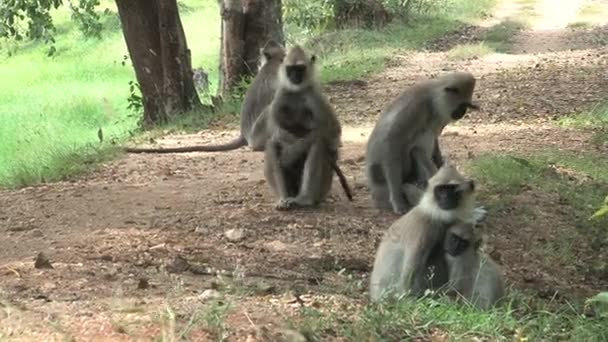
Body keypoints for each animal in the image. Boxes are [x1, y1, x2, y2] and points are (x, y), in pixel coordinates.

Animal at [366, 71, 480, 214]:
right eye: (462, 105)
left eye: (467, 106)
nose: (463, 113)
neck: (432, 101)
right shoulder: (415, 105)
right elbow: (391, 142)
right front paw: (397, 200)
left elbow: (435, 139)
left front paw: (443, 167)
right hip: (383, 188)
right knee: (415, 150)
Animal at [368, 164, 478, 302]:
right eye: (440, 190)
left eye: (452, 190)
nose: (446, 197)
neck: (437, 216)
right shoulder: (424, 228)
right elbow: (407, 282)